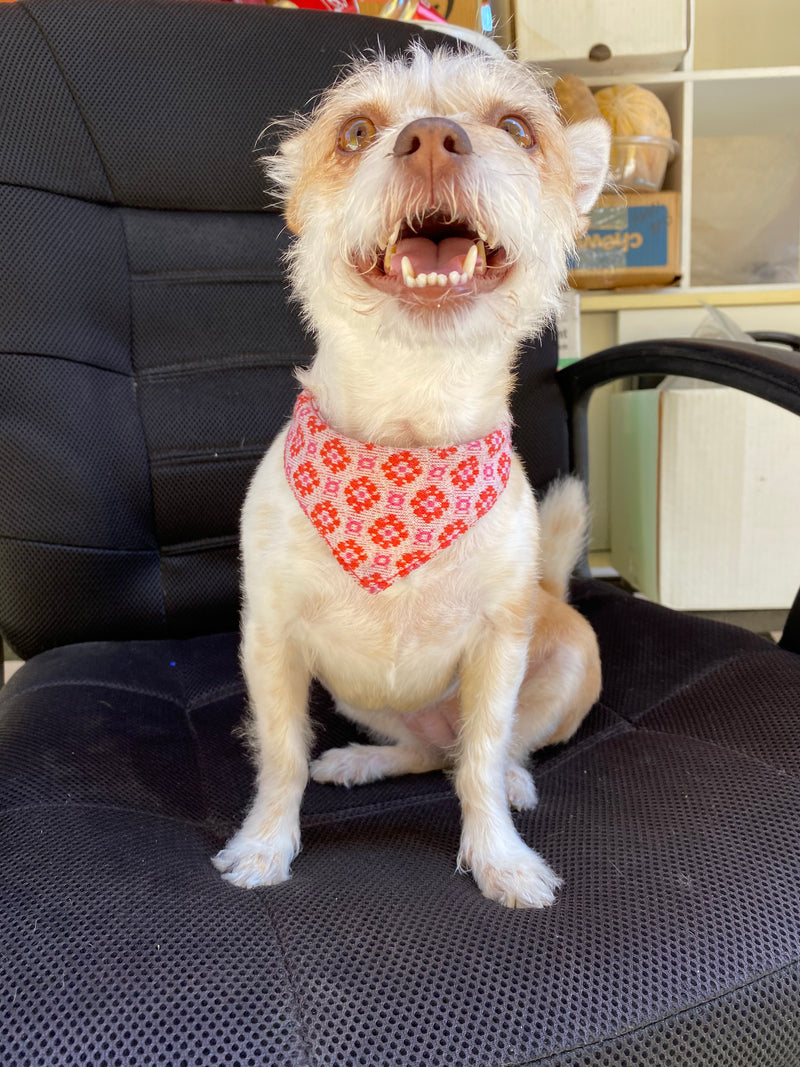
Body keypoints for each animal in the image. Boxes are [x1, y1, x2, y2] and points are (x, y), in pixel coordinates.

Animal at [213, 43, 605, 909]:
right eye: (355, 131)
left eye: (517, 127)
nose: (429, 138)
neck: (407, 445)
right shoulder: (272, 640)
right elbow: (281, 754)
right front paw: (264, 844)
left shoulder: (499, 645)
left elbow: (484, 757)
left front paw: (500, 857)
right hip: (362, 693)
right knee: (430, 753)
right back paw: (364, 759)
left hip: (565, 656)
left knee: (479, 753)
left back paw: (514, 780)